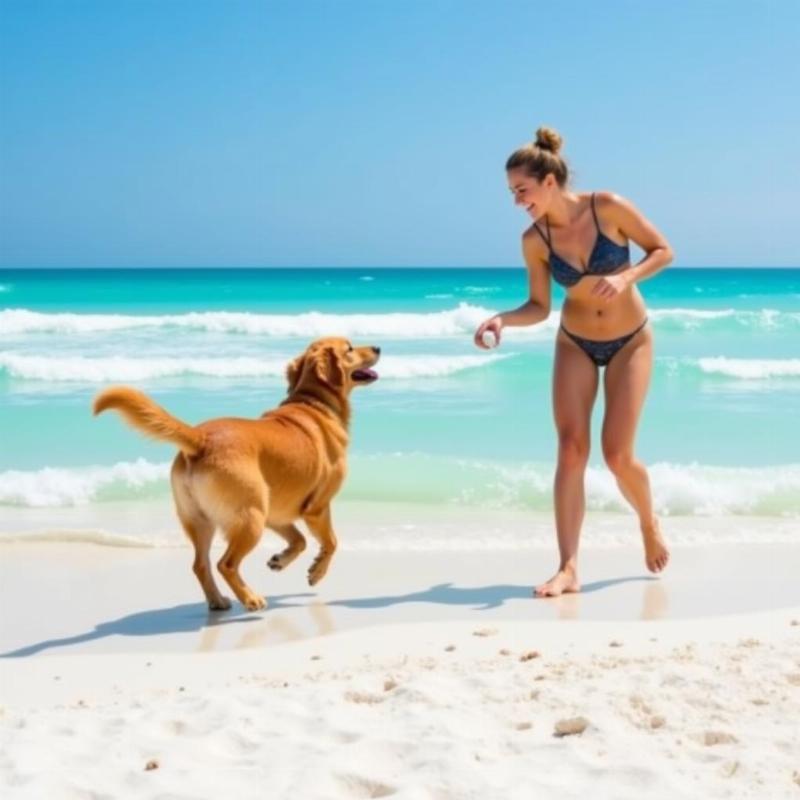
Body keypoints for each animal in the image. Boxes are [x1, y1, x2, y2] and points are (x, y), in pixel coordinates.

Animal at [92, 340, 380, 612]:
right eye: (350, 348)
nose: (378, 347)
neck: (314, 402)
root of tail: (200, 439)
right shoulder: (317, 508)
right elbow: (331, 542)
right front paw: (317, 572)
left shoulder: (275, 514)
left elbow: (299, 541)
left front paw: (280, 560)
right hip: (250, 520)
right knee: (226, 564)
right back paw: (250, 598)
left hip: (206, 521)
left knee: (200, 564)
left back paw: (218, 600)